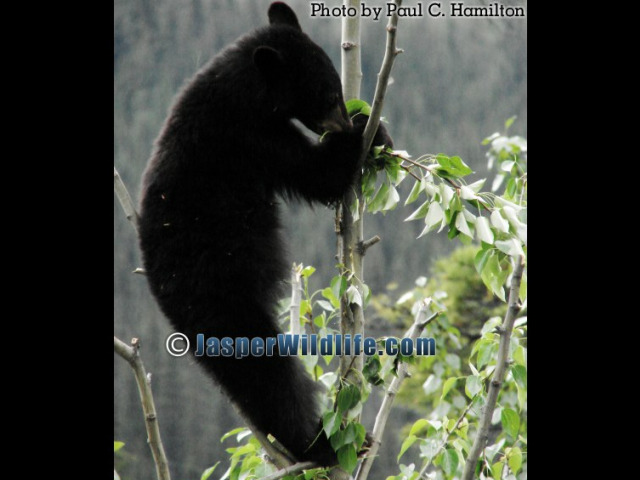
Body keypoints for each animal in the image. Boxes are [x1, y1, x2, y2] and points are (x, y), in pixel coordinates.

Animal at [138, 1, 392, 467]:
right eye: (327, 94)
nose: (339, 121)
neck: (240, 93)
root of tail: (163, 295)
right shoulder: (251, 140)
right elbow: (317, 174)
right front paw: (364, 130)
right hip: (224, 298)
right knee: (268, 376)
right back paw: (320, 442)